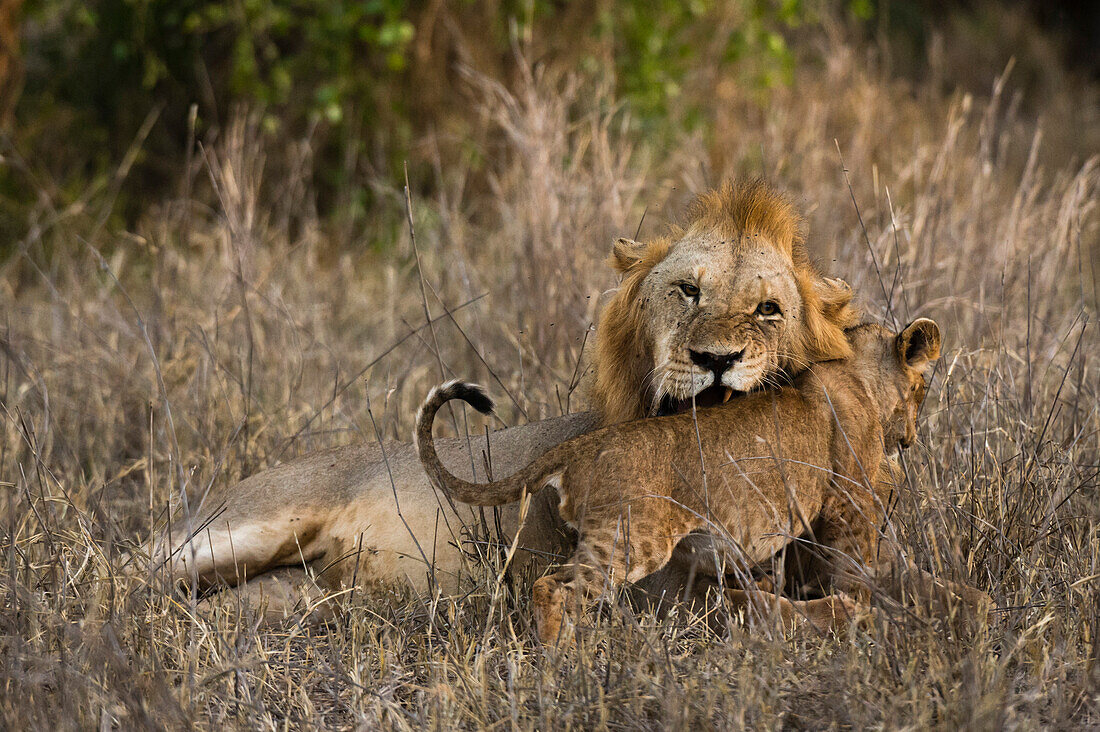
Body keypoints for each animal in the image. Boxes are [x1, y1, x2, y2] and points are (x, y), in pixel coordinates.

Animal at [150, 181, 858, 612]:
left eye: (768, 310)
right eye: (688, 291)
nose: (716, 360)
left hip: (300, 596)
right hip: (242, 528)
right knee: (139, 569)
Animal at [415, 319, 994, 638]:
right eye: (923, 389)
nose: (912, 437)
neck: (856, 375)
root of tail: (579, 445)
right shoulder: (849, 516)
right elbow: (861, 582)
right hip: (630, 539)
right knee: (553, 588)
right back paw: (558, 663)